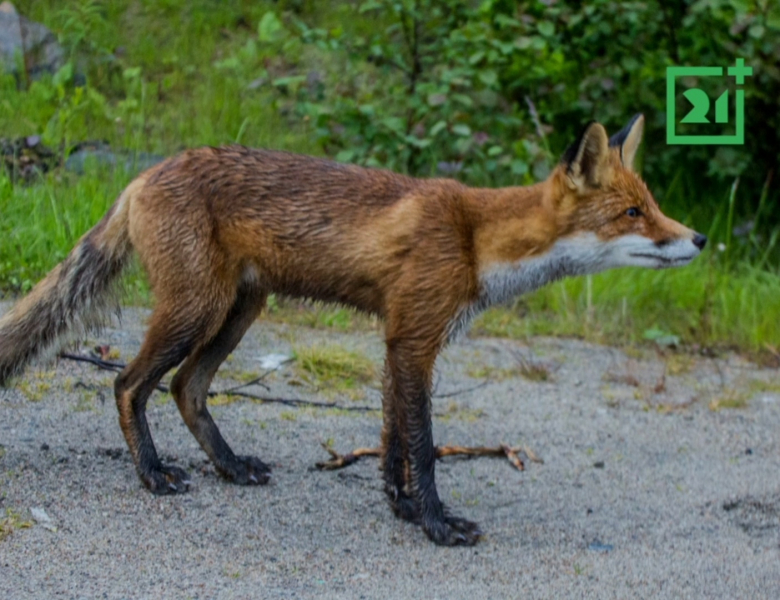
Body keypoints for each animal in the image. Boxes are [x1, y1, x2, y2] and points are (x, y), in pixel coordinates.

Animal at [0, 114, 705, 545]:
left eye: (653, 206)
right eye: (633, 213)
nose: (698, 239)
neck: (475, 240)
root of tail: (144, 174)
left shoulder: (400, 339)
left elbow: (392, 438)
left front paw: (400, 506)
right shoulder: (415, 339)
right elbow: (422, 445)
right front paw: (436, 524)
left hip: (238, 311)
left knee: (186, 390)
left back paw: (230, 466)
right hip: (195, 309)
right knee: (129, 384)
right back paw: (152, 473)